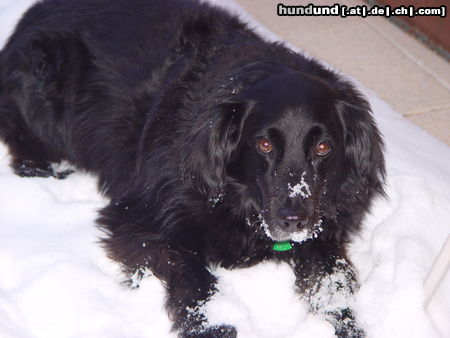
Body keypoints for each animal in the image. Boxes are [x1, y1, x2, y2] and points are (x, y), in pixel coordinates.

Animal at [0, 1, 386, 336]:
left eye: (324, 148)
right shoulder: (139, 219)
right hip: (46, 71)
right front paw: (213, 326)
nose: (294, 221)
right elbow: (193, 274)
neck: (240, 201)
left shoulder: (324, 235)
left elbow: (334, 286)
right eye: (263, 145)